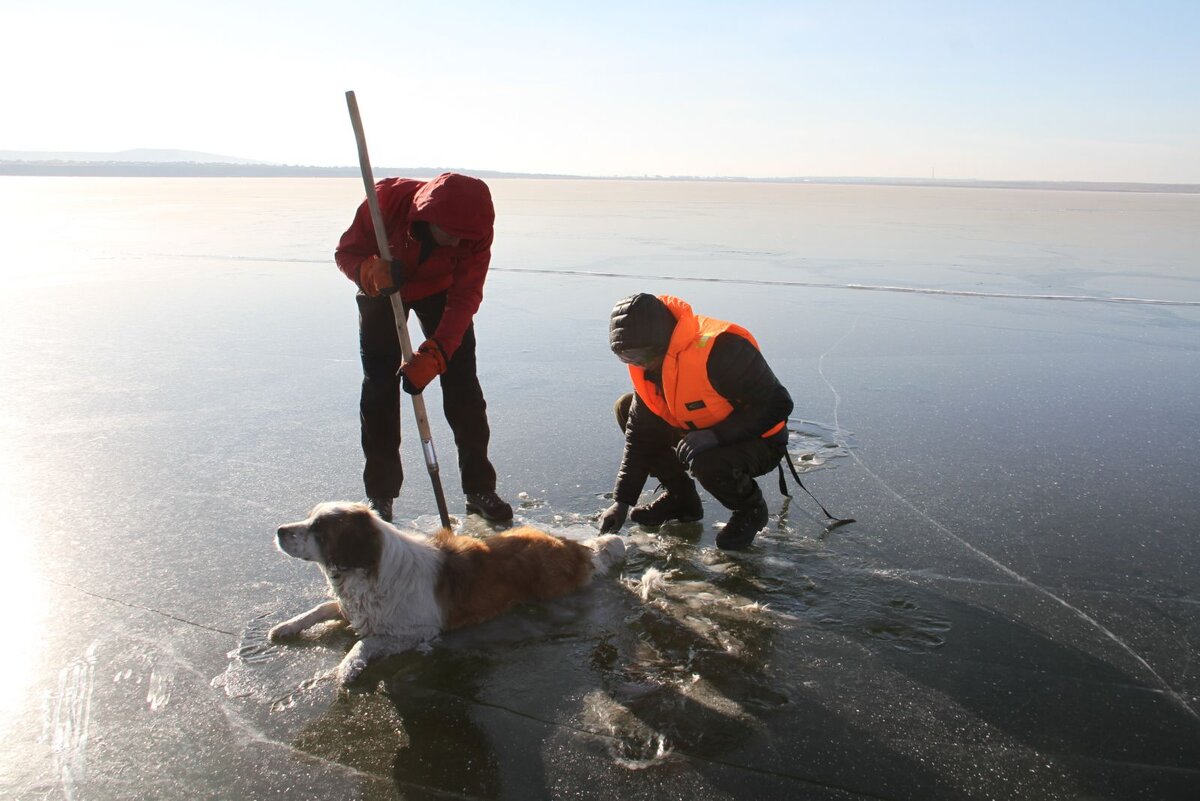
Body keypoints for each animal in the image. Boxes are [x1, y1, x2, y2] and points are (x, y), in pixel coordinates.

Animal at [271, 501, 624, 681]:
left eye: (318, 528)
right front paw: (286, 627)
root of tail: (572, 547)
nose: (279, 530)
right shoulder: (355, 609)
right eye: (308, 519)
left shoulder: (417, 631)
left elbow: (365, 642)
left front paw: (348, 667)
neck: (369, 568)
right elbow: (318, 609)